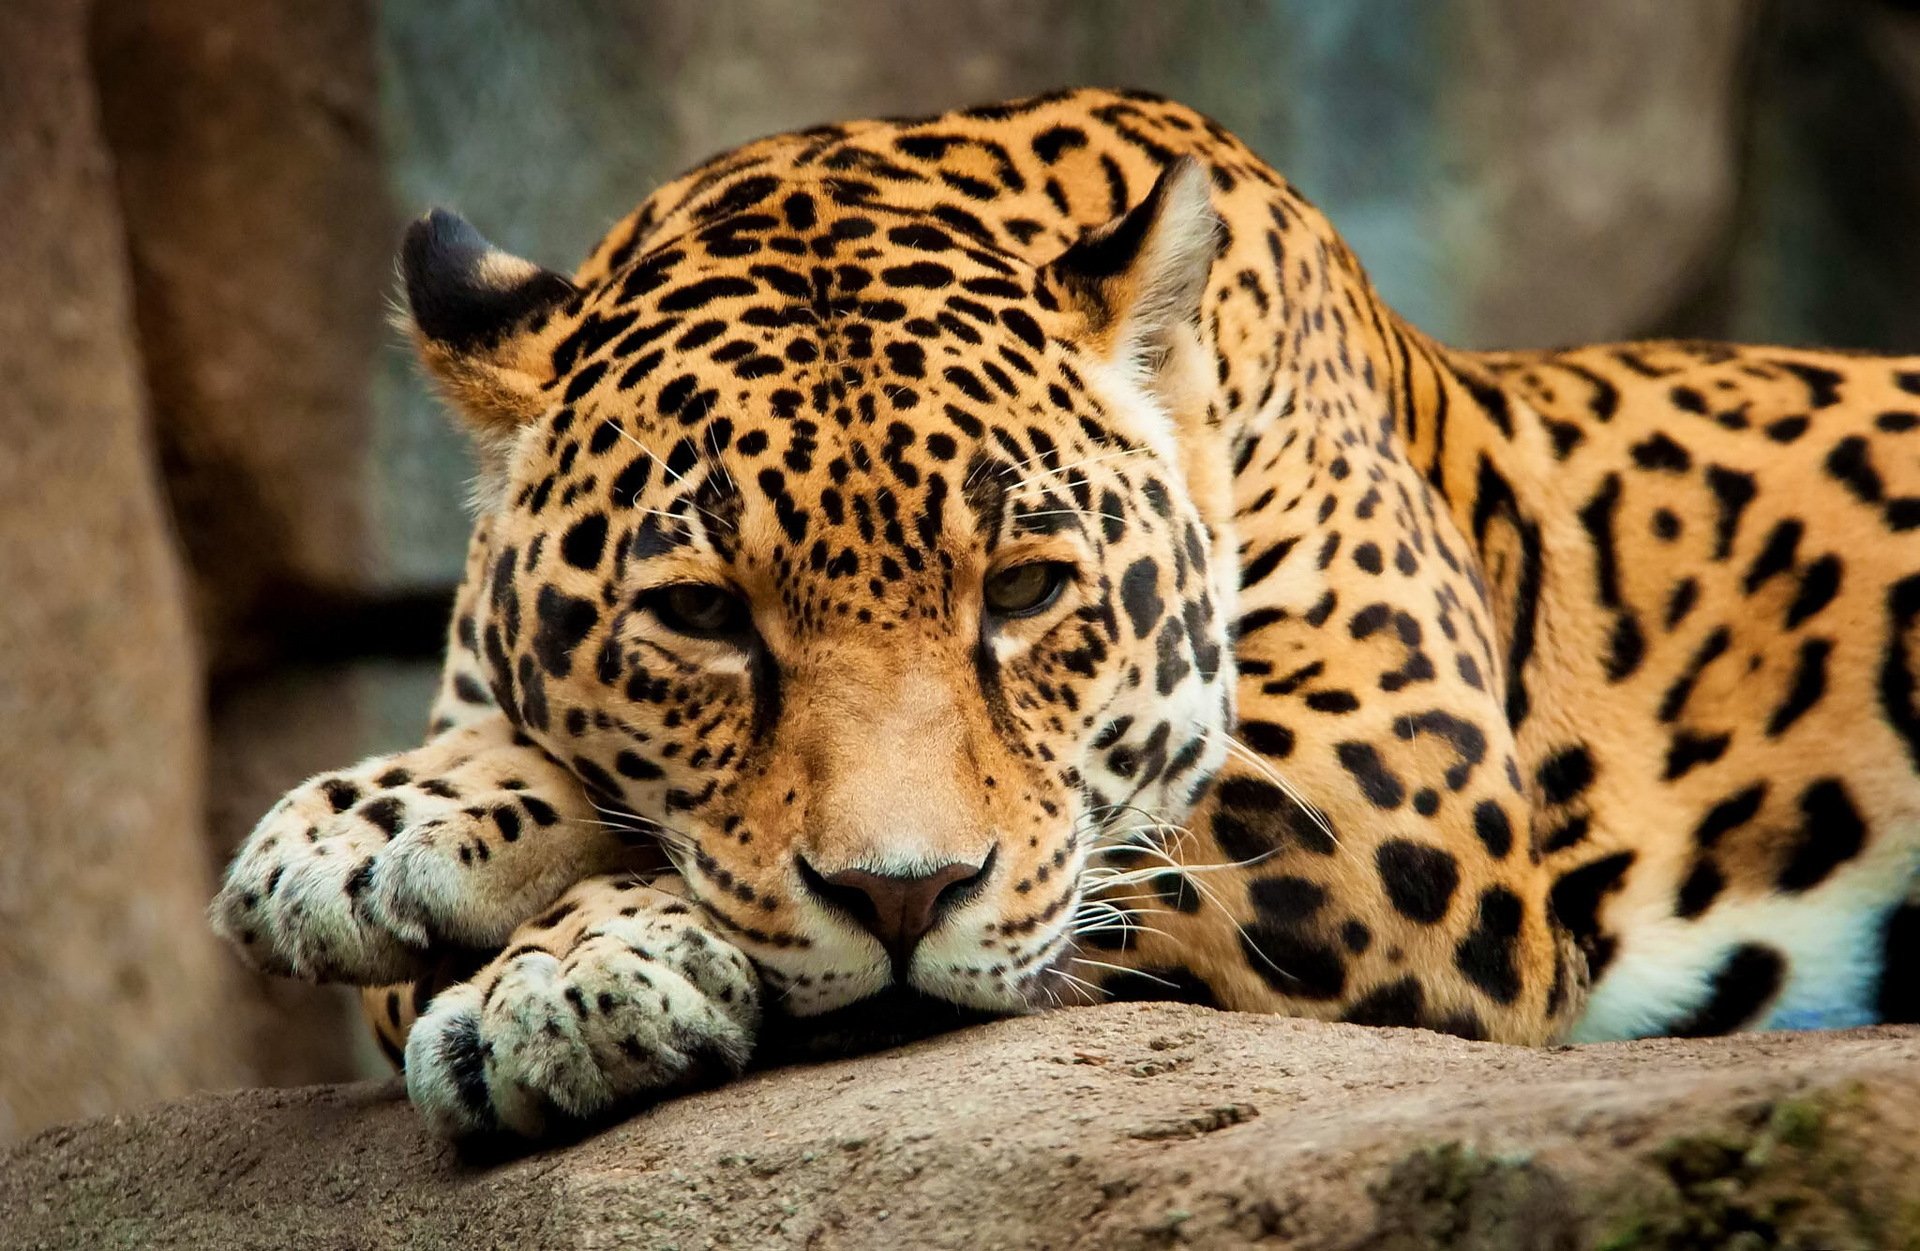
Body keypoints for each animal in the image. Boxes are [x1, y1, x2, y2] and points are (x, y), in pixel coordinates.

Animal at [213, 87, 1920, 1140]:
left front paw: (554, 972)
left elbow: (1089, 854)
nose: (902, 897)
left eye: (1028, 589)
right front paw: (393, 833)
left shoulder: (1391, 784)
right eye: (700, 614)